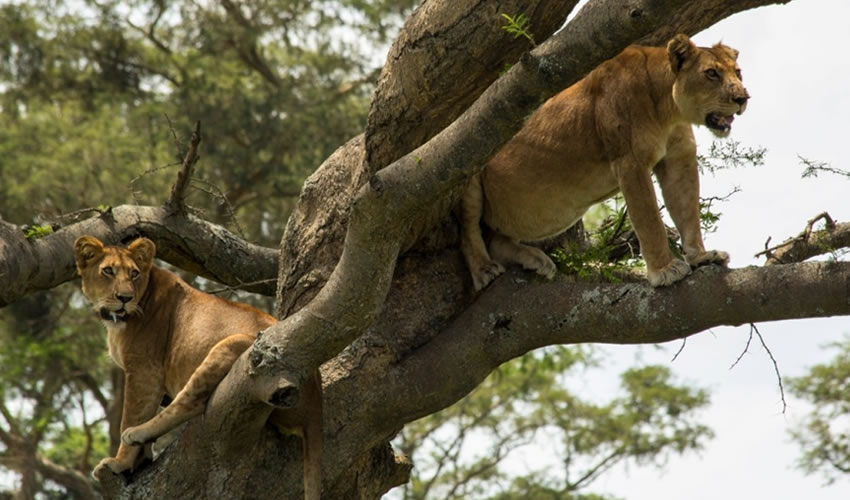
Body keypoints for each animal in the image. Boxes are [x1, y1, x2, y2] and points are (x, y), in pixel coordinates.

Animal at [74, 235, 322, 500]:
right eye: (108, 271)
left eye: (134, 274)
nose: (125, 298)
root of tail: (316, 400)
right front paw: (140, 459)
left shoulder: (144, 369)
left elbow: (132, 414)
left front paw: (120, 463)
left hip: (232, 345)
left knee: (191, 402)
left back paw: (138, 433)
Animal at [460, 34, 744, 290]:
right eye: (711, 73)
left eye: (738, 72)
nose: (743, 98)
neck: (669, 110)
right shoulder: (629, 162)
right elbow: (649, 220)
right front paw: (665, 270)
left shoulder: (678, 159)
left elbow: (687, 211)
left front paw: (702, 257)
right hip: (470, 171)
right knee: (469, 228)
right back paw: (484, 270)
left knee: (496, 240)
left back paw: (535, 260)